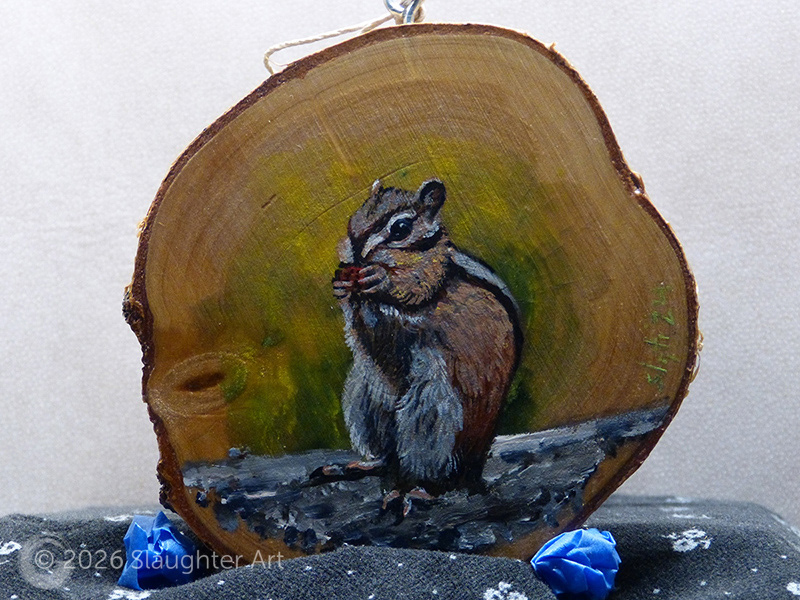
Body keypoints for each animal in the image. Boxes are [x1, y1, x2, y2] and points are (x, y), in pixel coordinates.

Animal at [332, 179, 522, 514]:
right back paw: (366, 465)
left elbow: (412, 288)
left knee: (433, 468)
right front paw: (342, 285)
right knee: (387, 453)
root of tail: (474, 470)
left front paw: (378, 278)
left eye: (401, 228)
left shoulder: (427, 278)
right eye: (355, 218)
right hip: (364, 394)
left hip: (434, 411)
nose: (355, 252)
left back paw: (419, 491)